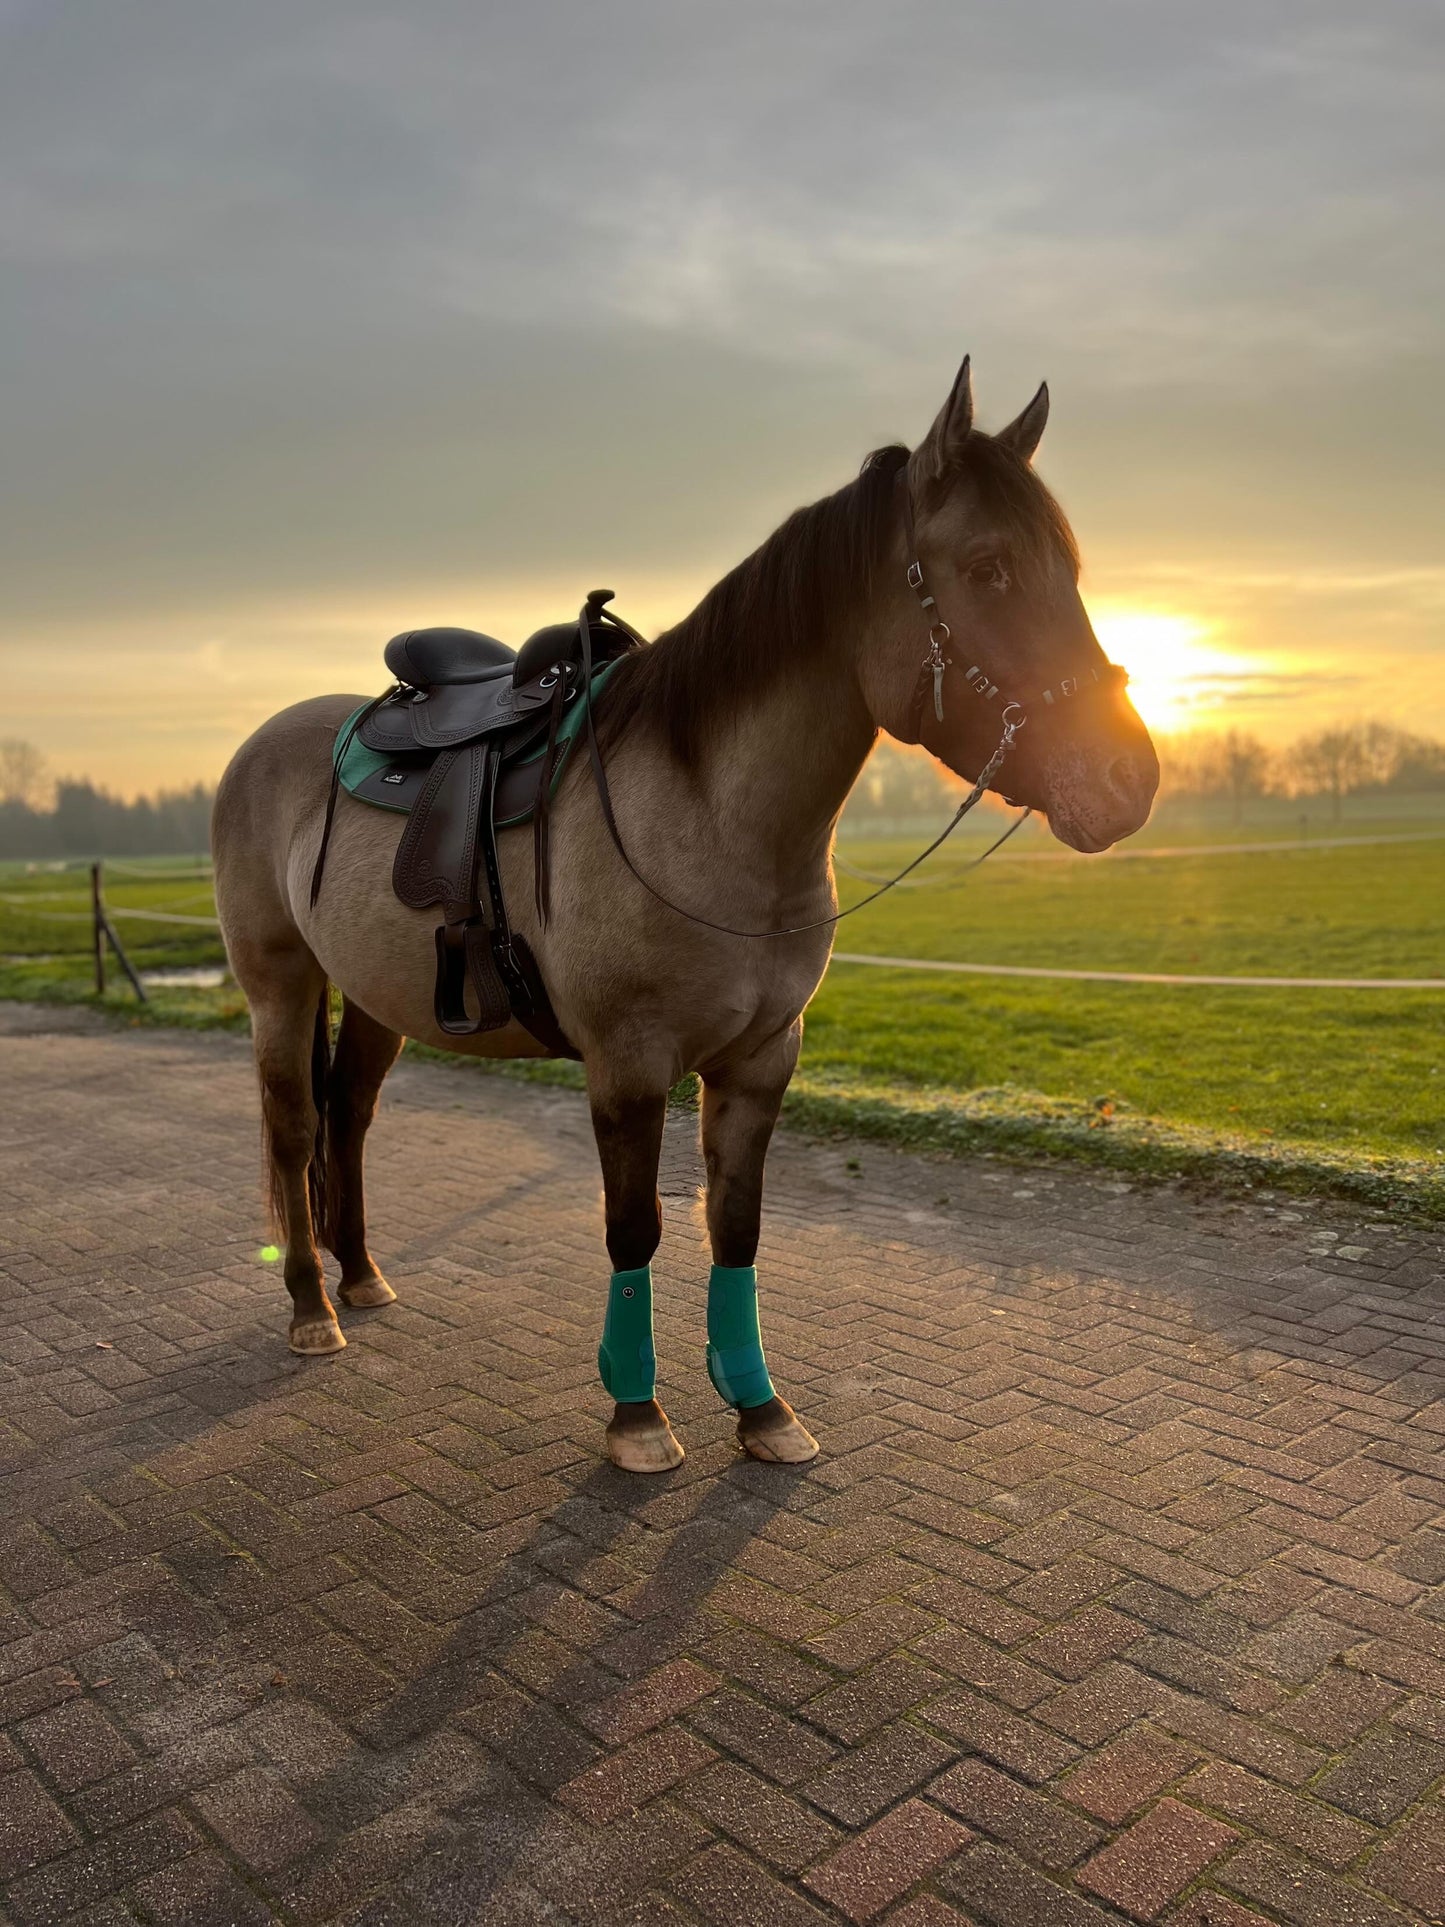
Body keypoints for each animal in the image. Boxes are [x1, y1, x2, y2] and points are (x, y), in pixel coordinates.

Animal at [212, 354, 1159, 1474]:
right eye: (988, 567)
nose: (1126, 777)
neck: (710, 816)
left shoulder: (758, 1061)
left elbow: (733, 1229)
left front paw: (760, 1407)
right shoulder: (627, 1068)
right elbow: (635, 1230)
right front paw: (637, 1413)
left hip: (371, 996)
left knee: (349, 1117)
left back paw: (359, 1276)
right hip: (278, 987)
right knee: (293, 1127)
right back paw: (312, 1308)